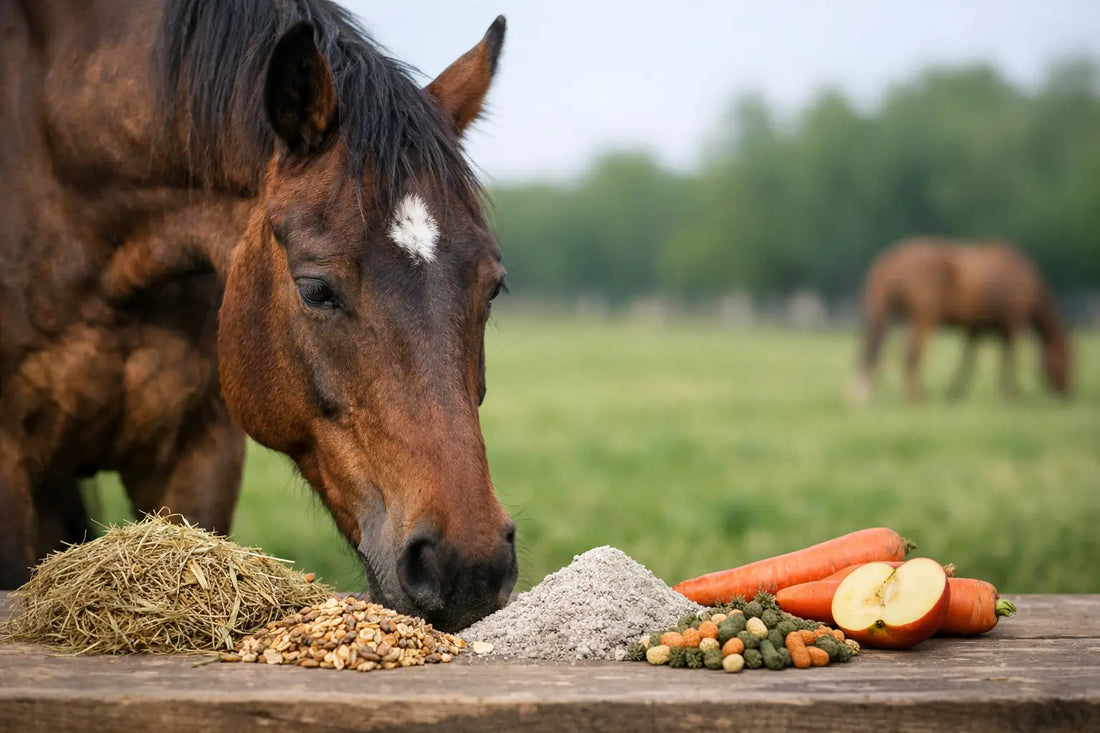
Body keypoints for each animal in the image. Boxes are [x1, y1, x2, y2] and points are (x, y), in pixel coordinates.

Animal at [856, 238, 1072, 403]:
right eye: (1067, 359)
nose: (1069, 393)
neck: (1029, 284)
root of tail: (891, 260)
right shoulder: (1011, 323)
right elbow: (1009, 358)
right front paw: (1012, 394)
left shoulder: (976, 328)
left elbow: (968, 360)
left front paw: (954, 393)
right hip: (923, 319)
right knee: (910, 357)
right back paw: (917, 399)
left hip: (887, 314)